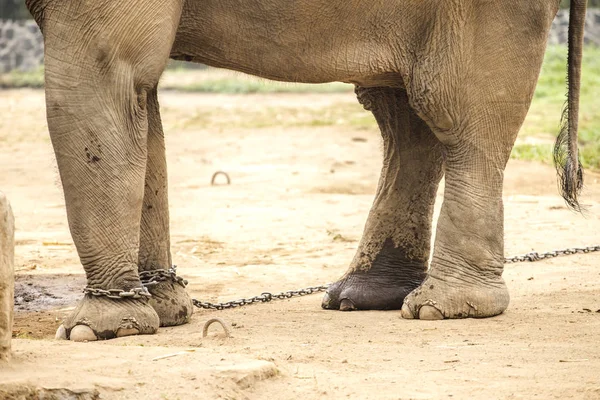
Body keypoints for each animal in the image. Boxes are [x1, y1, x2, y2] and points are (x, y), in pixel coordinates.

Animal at [25, 0, 588, 340]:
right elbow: (141, 97)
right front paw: (164, 312)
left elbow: (107, 76)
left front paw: (95, 330)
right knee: (403, 114)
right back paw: (361, 298)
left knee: (459, 115)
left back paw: (440, 308)